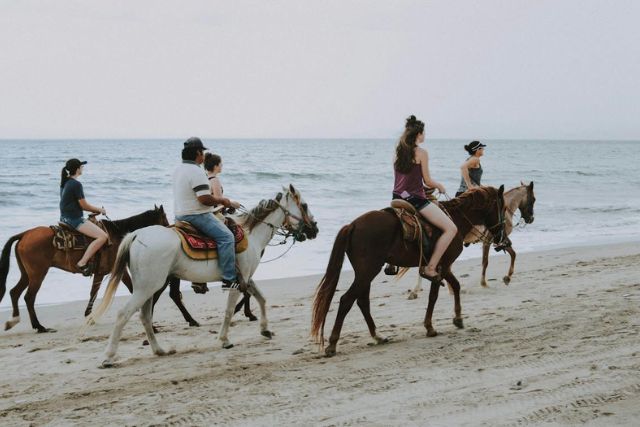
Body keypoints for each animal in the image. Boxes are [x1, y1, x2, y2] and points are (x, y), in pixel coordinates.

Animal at [0, 207, 180, 334]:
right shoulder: (114, 271)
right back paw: (39, 326)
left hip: (27, 274)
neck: (118, 235)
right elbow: (124, 290)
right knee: (29, 297)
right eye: (164, 220)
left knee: (14, 292)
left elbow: (94, 293)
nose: (172, 235)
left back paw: (13, 321)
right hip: (37, 274)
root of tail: (24, 234)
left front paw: (89, 316)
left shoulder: (104, 273)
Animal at [84, 185, 318, 368]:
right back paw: (108, 357)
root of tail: (136, 234)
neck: (250, 234)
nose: (314, 229)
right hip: (148, 287)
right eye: (305, 206)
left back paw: (159, 350)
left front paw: (265, 329)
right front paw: (224, 339)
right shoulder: (237, 281)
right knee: (124, 314)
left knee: (145, 317)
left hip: (149, 287)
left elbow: (261, 298)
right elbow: (229, 310)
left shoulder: (246, 278)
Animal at [312, 187, 508, 358]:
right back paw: (332, 344)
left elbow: (455, 286)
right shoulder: (441, 266)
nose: (503, 238)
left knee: (362, 301)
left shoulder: (443, 267)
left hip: (365, 273)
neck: (456, 219)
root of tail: (353, 225)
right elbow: (436, 295)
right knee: (347, 300)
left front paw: (457, 318)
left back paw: (377, 336)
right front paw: (431, 327)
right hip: (368, 271)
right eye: (503, 208)